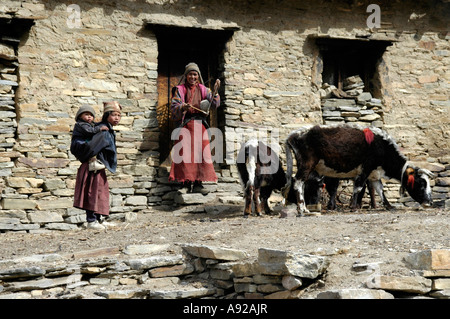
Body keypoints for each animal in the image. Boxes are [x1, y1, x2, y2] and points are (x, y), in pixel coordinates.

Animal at [284, 125, 434, 215]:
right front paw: (353, 206)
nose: (429, 202)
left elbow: (380, 190)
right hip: (306, 165)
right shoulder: (365, 169)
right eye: (421, 183)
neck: (382, 146)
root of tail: (295, 133)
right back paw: (302, 208)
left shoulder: (374, 174)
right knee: (298, 182)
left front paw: (389, 206)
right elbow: (358, 188)